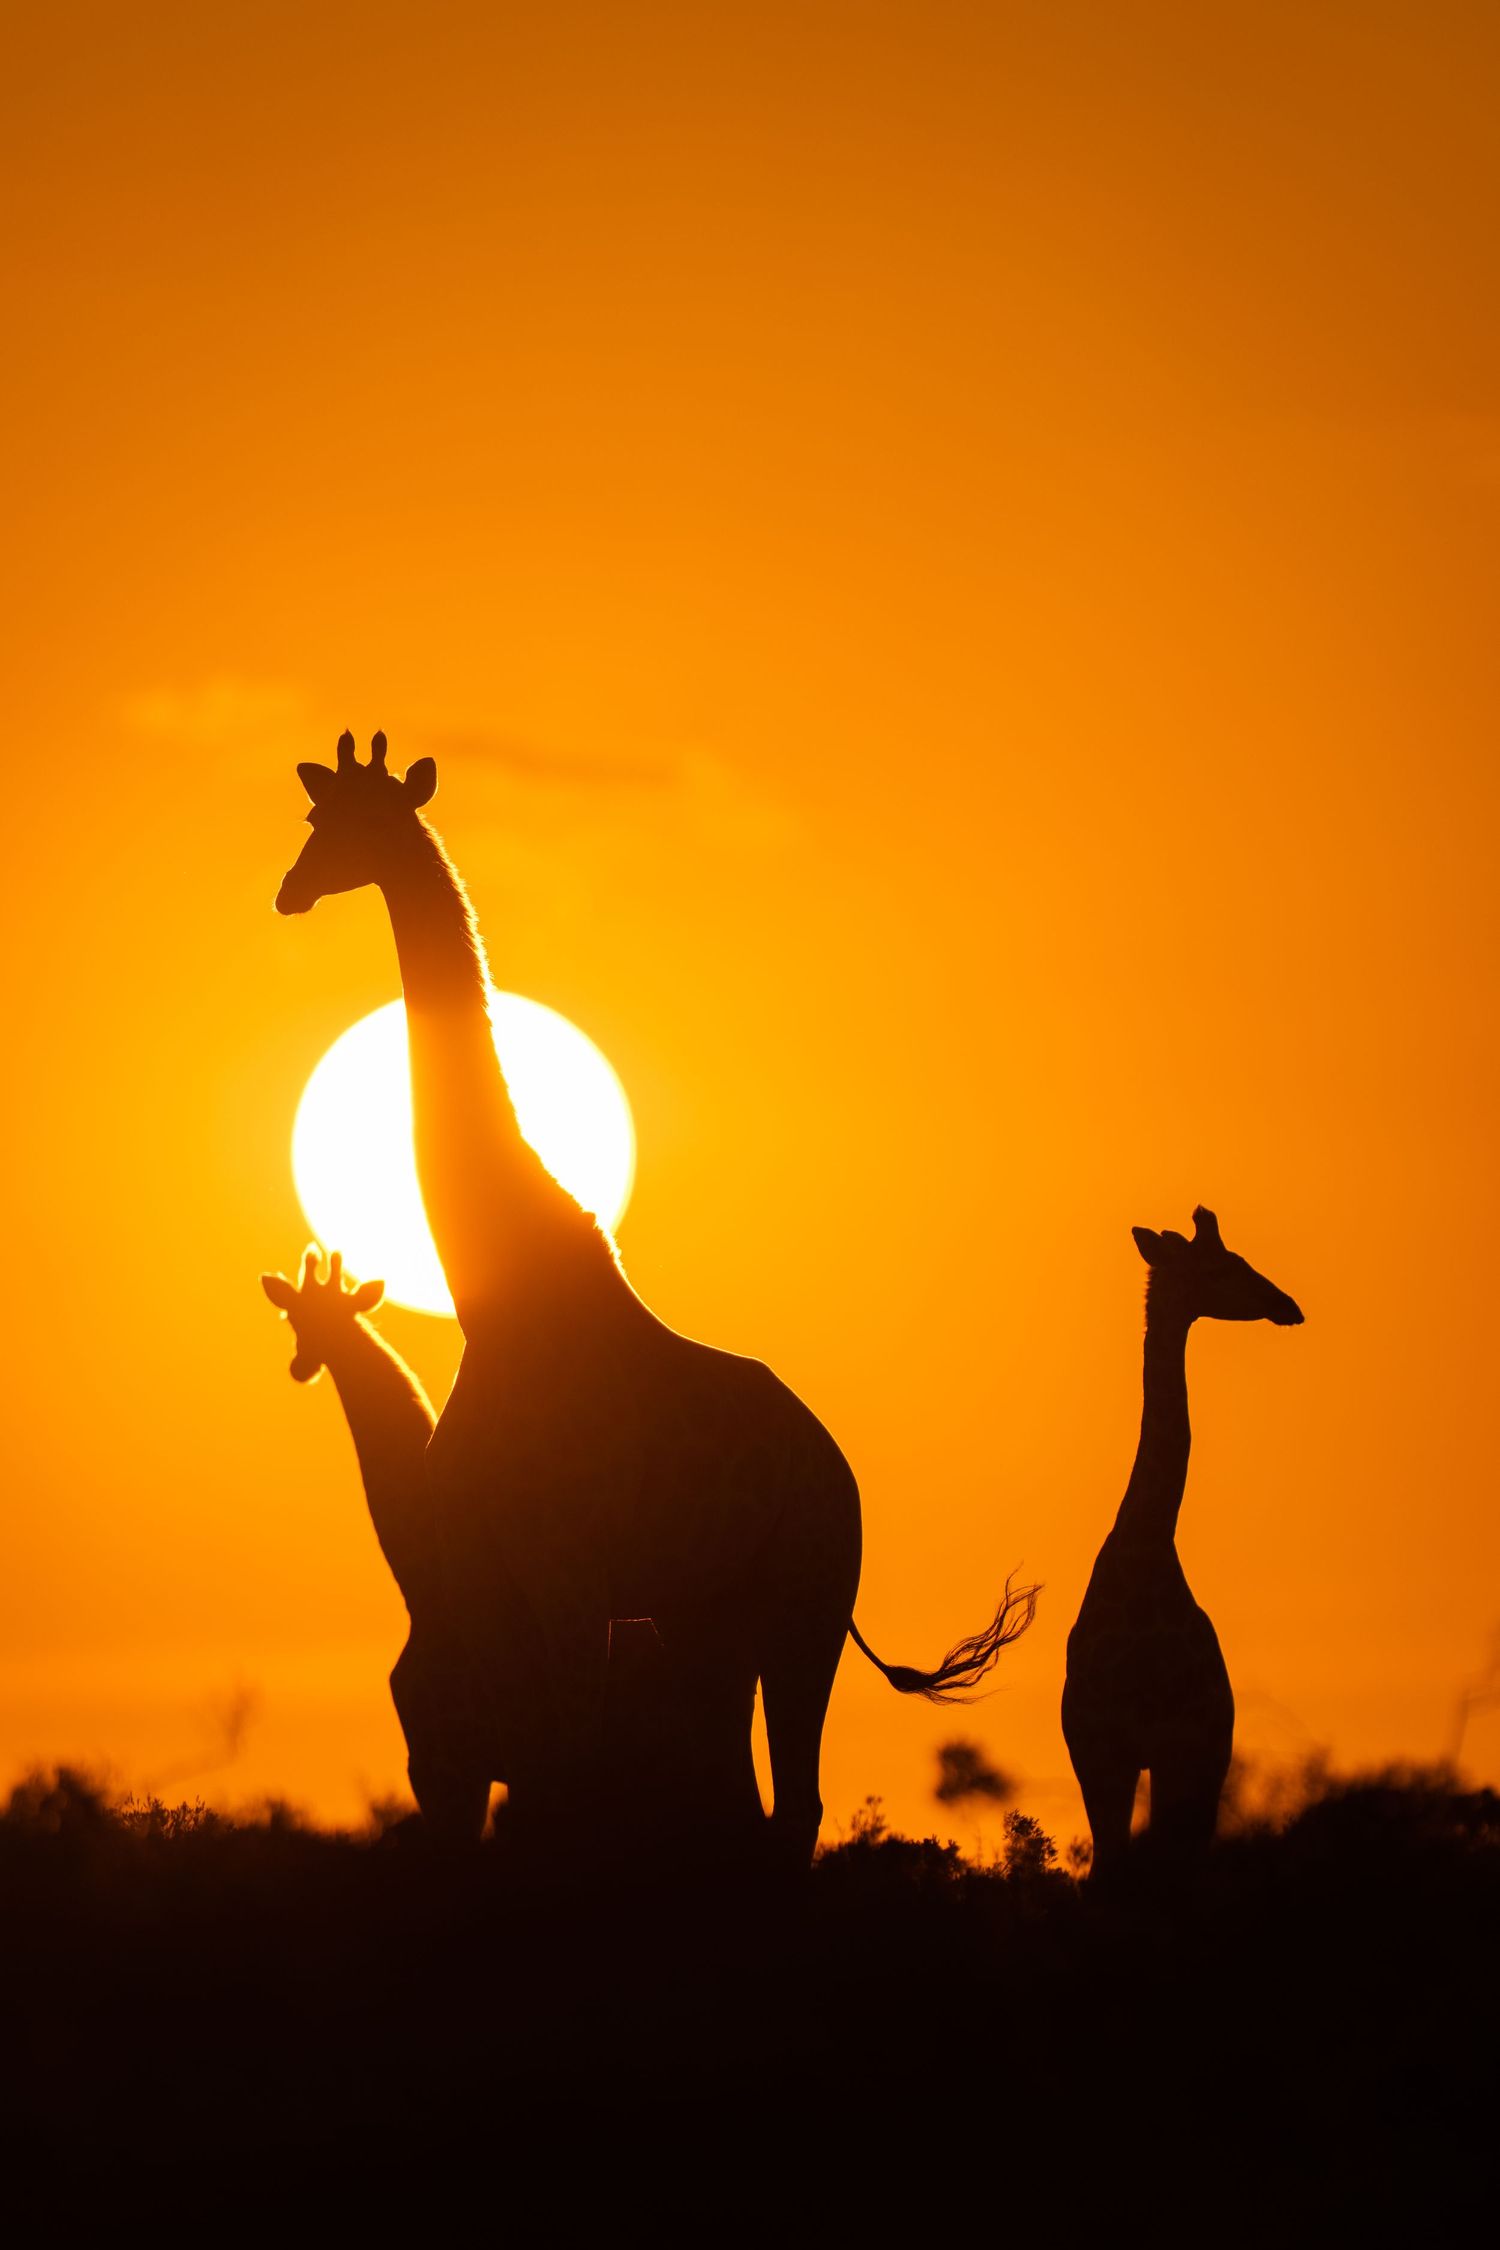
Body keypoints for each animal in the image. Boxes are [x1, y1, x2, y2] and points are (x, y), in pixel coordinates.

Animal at [274, 731, 1038, 1866]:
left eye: (339, 826)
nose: (289, 890)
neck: (494, 1300)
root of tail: (841, 1475)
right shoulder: (496, 1582)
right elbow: (533, 1790)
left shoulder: (565, 1579)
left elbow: (563, 1783)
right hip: (709, 1620)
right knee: (751, 1802)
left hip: (804, 1608)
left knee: (792, 1803)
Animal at [1062, 1206, 1303, 1878]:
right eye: (1223, 1267)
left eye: (1240, 1258)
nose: (1288, 1305)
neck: (1143, 1553)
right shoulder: (1100, 1751)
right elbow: (1106, 1870)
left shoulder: (1178, 1748)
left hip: (1210, 1757)